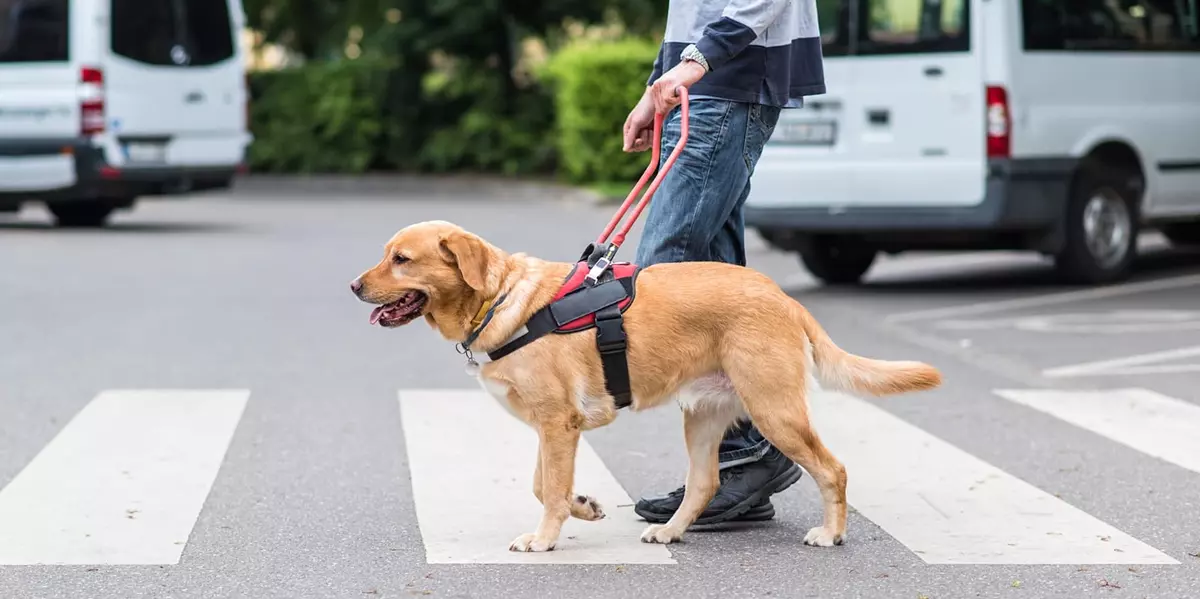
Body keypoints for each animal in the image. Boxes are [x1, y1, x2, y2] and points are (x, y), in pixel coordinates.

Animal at [350, 219, 940, 552]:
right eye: (386, 254)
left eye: (401, 260)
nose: (354, 286)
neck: (501, 299)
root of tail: (782, 296)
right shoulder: (551, 427)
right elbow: (545, 486)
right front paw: (583, 507)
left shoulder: (558, 424)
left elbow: (549, 490)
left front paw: (544, 539)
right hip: (703, 416)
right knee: (705, 483)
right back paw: (671, 531)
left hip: (775, 409)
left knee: (832, 469)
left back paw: (831, 533)